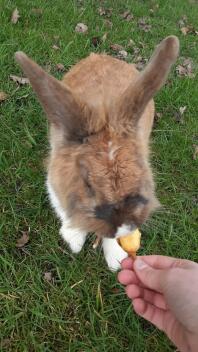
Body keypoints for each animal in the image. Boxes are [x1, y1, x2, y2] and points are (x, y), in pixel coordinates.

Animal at [15, 35, 179, 270]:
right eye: (88, 185)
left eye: (142, 172)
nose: (124, 228)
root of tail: (98, 56)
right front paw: (74, 240)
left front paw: (115, 260)